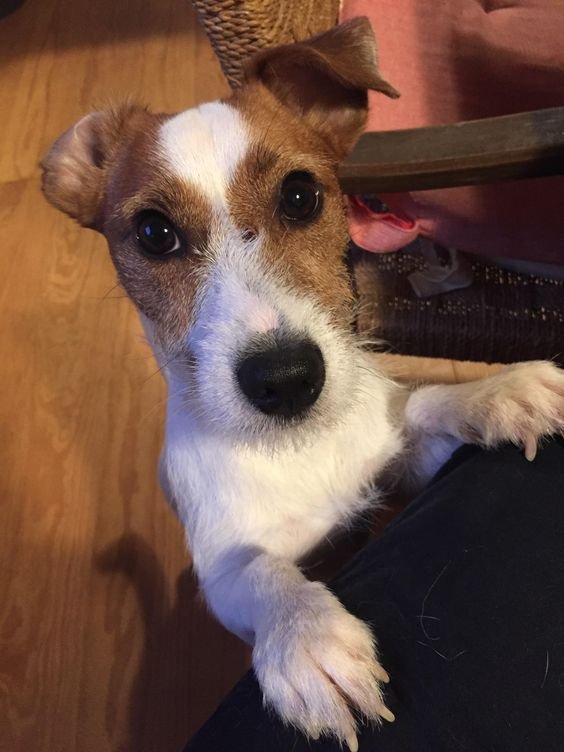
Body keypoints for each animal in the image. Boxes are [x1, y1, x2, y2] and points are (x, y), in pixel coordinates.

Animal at [40, 17, 564, 752]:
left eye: (300, 194)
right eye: (152, 232)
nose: (286, 379)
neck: (300, 447)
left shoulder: (393, 463)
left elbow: (421, 404)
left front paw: (499, 392)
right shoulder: (221, 567)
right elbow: (261, 570)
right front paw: (307, 637)